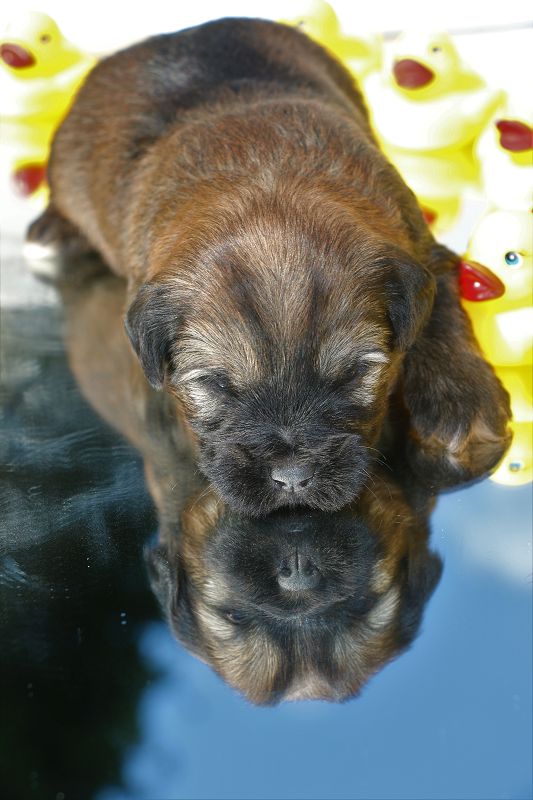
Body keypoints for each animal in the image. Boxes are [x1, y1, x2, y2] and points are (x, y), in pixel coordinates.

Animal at [29, 20, 512, 520]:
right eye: (217, 385)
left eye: (353, 374)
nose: (293, 478)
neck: (267, 173)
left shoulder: (424, 249)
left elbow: (442, 313)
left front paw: (461, 401)